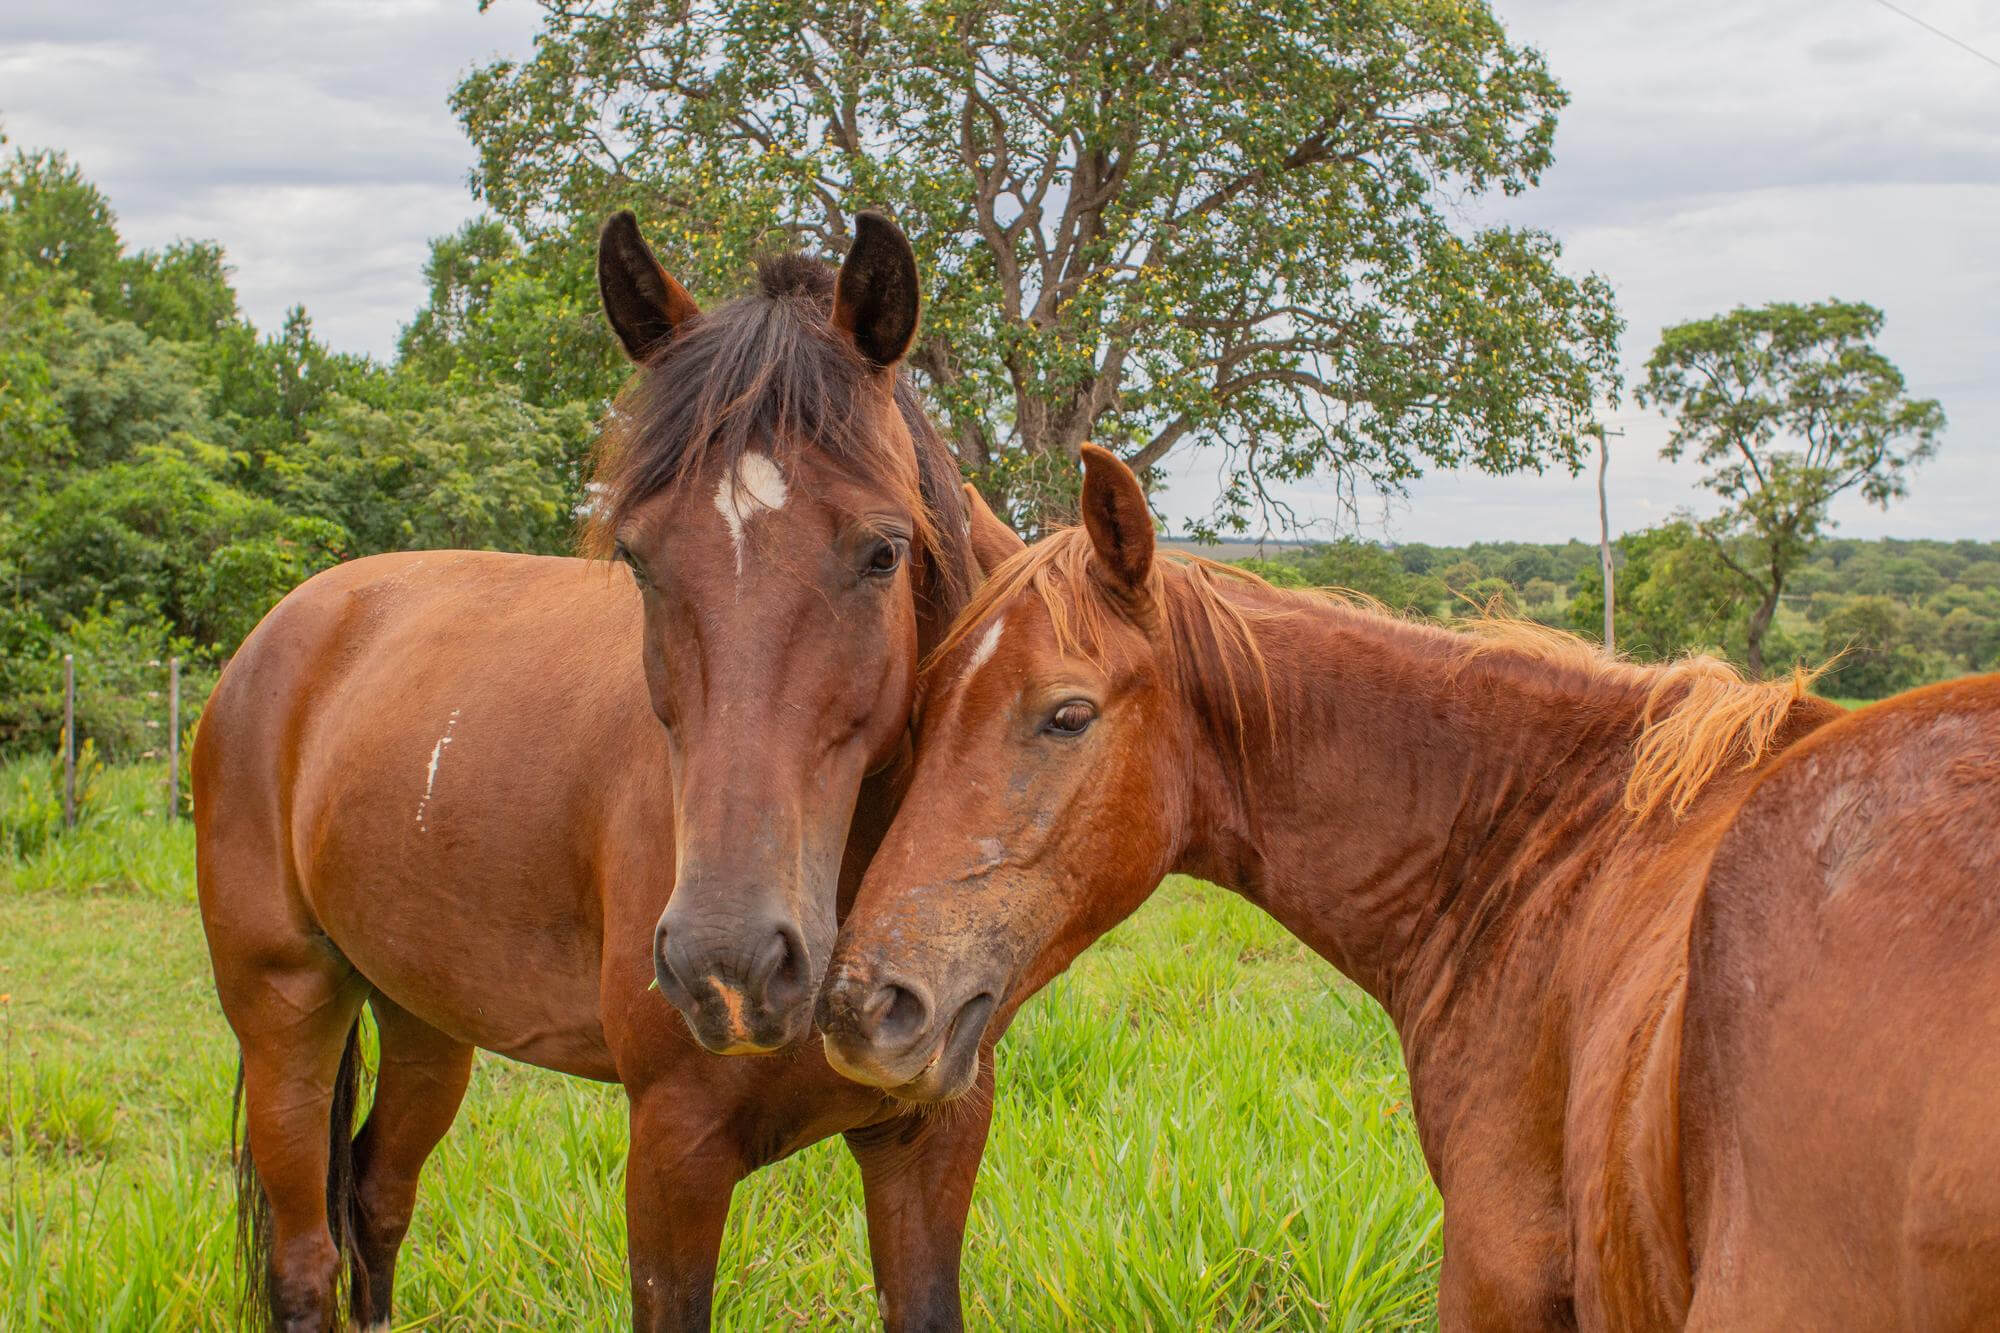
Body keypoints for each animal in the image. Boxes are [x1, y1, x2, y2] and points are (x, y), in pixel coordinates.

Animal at [195, 213, 1024, 1320]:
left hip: (422, 1018)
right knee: (304, 1263)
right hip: (286, 1008)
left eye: (884, 551)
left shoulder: (928, 1135)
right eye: (637, 558)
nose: (729, 965)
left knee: (373, 1202)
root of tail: (279, 634)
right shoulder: (674, 1150)